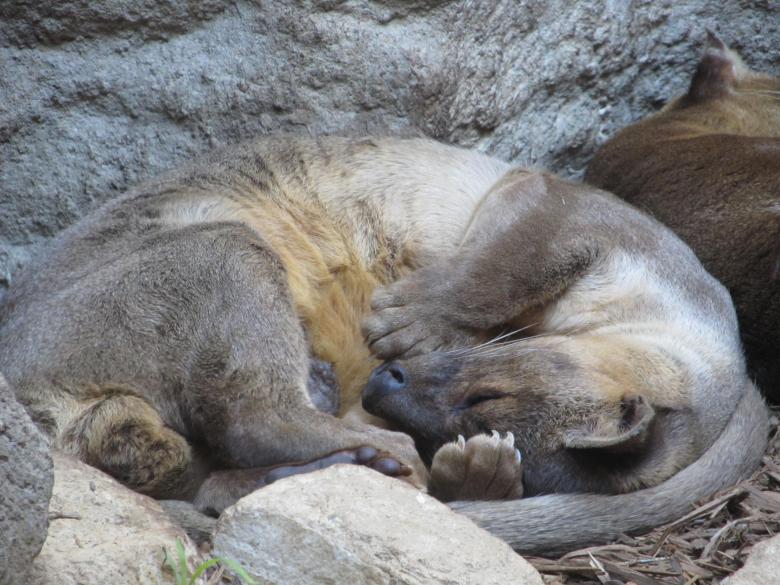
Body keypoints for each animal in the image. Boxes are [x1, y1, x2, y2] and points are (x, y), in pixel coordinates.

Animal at [0, 136, 767, 554]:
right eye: (491, 386)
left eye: (474, 411)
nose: (386, 379)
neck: (675, 303)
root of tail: (42, 403)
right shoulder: (565, 209)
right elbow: (507, 265)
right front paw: (410, 317)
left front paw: (477, 469)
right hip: (222, 250)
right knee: (247, 413)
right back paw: (374, 449)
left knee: (220, 452)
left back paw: (368, 455)